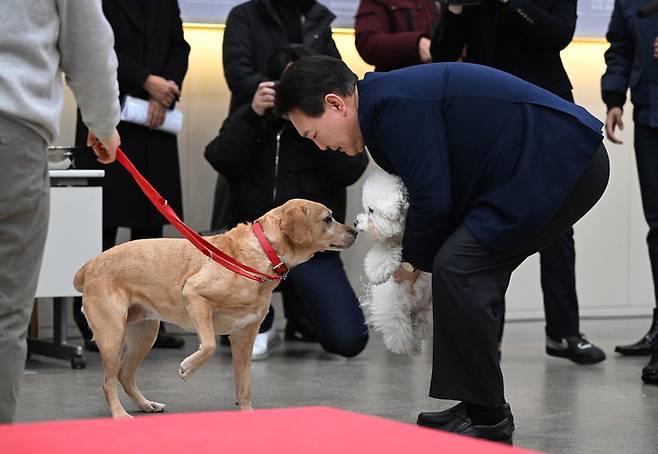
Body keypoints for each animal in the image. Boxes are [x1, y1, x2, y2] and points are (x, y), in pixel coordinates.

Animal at [354, 168, 430, 356]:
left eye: (371, 210)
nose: (356, 222)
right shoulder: (391, 242)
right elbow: (384, 252)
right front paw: (376, 273)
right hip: (394, 306)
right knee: (400, 328)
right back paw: (408, 346)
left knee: (420, 326)